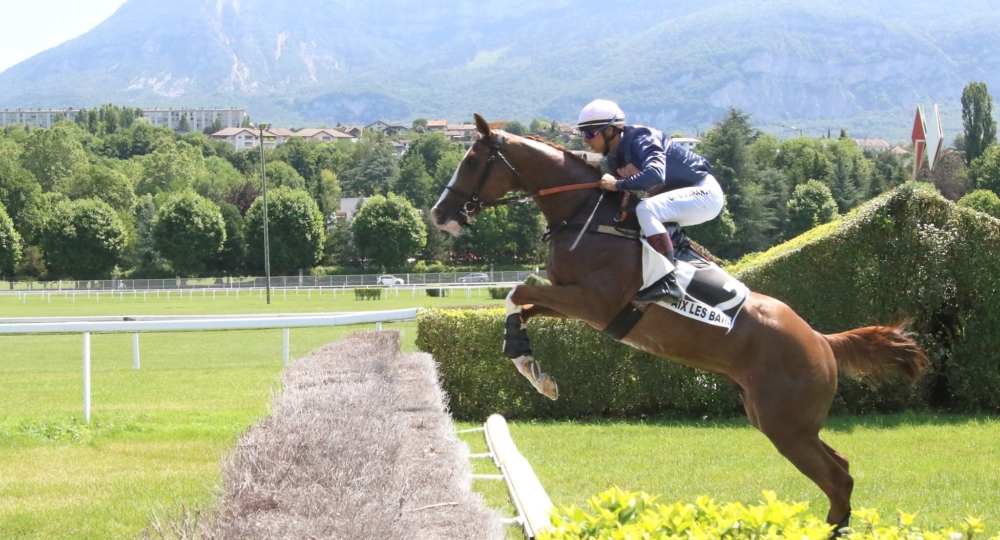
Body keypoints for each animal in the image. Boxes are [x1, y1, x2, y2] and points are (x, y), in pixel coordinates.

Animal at [430, 114, 928, 532]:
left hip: (787, 427)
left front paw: (528, 364)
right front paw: (532, 367)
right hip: (781, 422)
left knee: (837, 479)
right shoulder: (574, 302)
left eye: (471, 160)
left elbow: (518, 292)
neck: (583, 216)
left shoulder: (593, 302)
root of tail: (823, 342)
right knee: (841, 469)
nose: (438, 214)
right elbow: (519, 303)